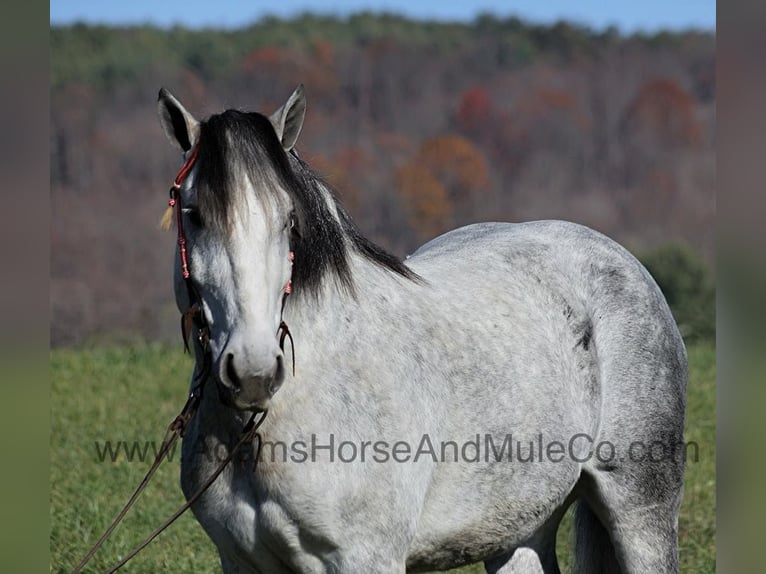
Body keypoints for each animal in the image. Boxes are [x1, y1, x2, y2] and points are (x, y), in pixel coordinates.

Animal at [159, 86, 688, 574]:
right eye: (194, 215)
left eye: (289, 220)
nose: (253, 373)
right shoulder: (242, 561)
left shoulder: (366, 559)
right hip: (520, 528)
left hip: (640, 511)